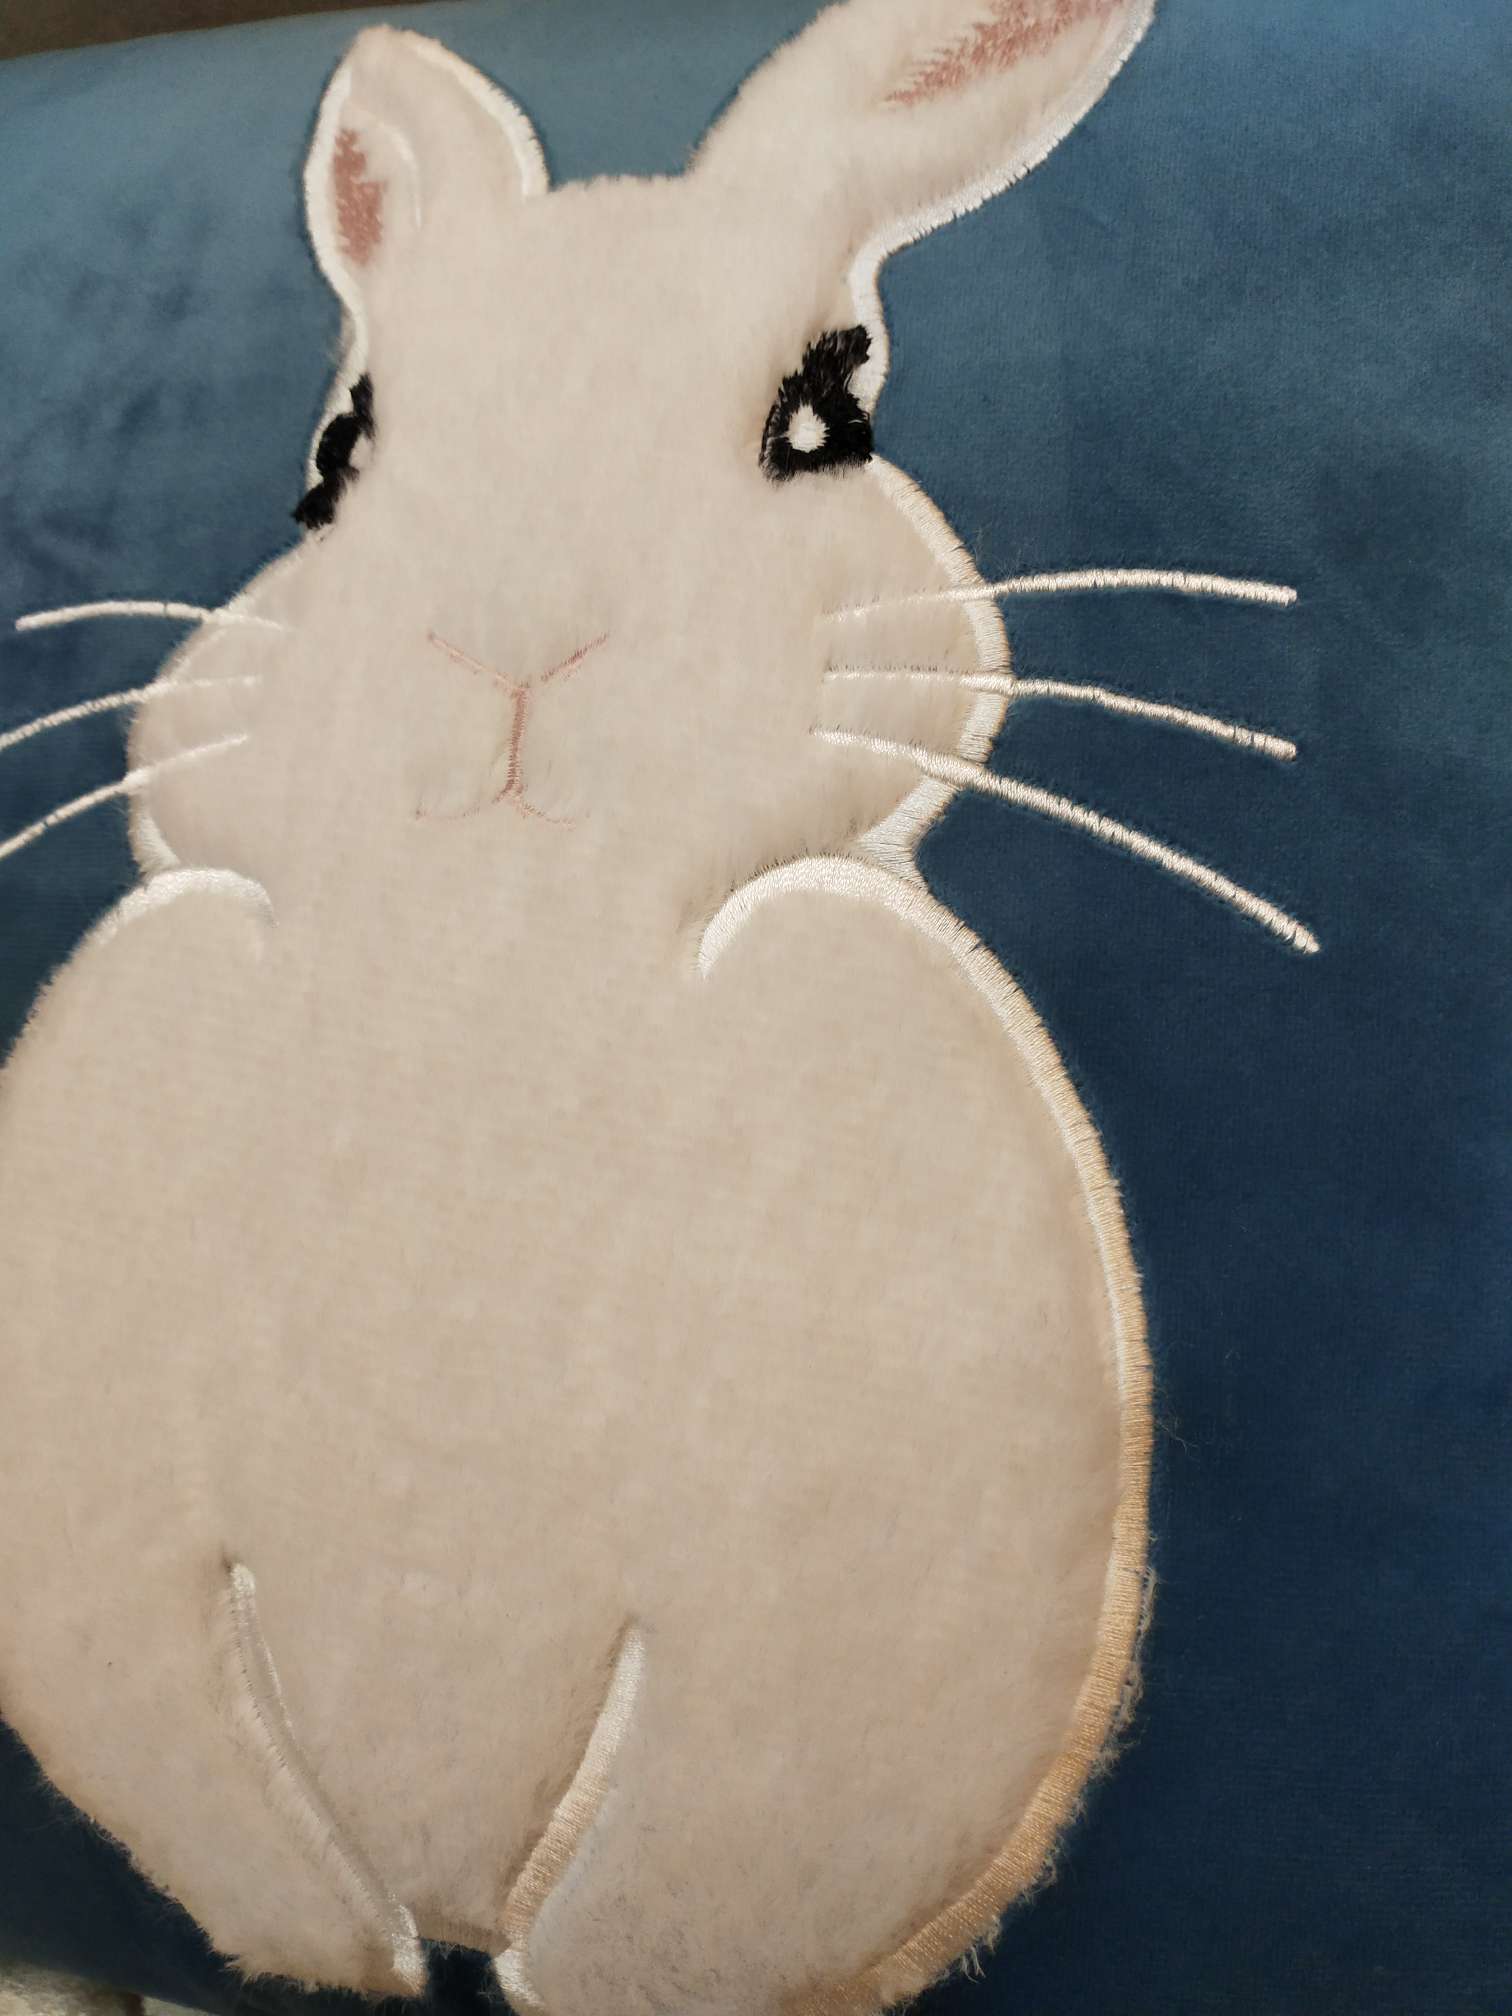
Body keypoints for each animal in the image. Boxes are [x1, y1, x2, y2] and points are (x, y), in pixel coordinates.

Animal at [0, 4, 1284, 2012]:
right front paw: (319, 1940)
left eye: (824, 420)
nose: (509, 636)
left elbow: (677, 1871)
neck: (493, 972)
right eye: (336, 454)